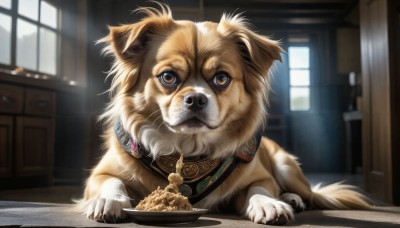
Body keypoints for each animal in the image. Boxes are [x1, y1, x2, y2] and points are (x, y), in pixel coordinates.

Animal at [76, 3, 370, 224]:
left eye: (221, 78)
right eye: (168, 77)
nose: (196, 98)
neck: (189, 150)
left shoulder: (262, 177)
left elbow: (260, 188)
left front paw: (269, 204)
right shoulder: (99, 174)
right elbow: (112, 183)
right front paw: (108, 201)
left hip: (286, 167)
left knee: (306, 195)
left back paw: (291, 199)